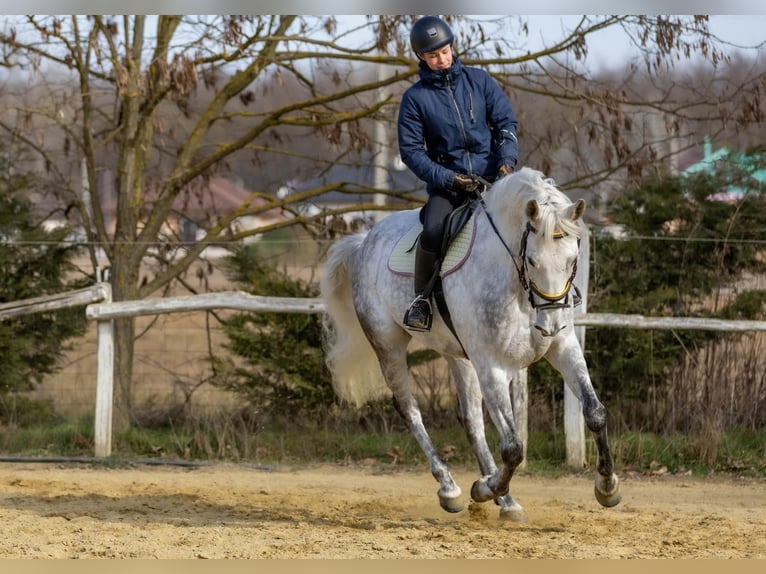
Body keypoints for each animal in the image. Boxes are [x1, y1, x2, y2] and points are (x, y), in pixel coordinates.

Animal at [320, 165, 624, 520]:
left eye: (573, 259)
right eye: (532, 260)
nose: (550, 326)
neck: (517, 286)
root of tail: (364, 241)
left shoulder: (563, 348)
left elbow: (595, 412)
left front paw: (607, 487)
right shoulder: (492, 365)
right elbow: (513, 446)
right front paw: (483, 489)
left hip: (459, 356)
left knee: (471, 420)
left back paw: (504, 500)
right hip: (388, 344)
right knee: (410, 410)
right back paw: (451, 488)